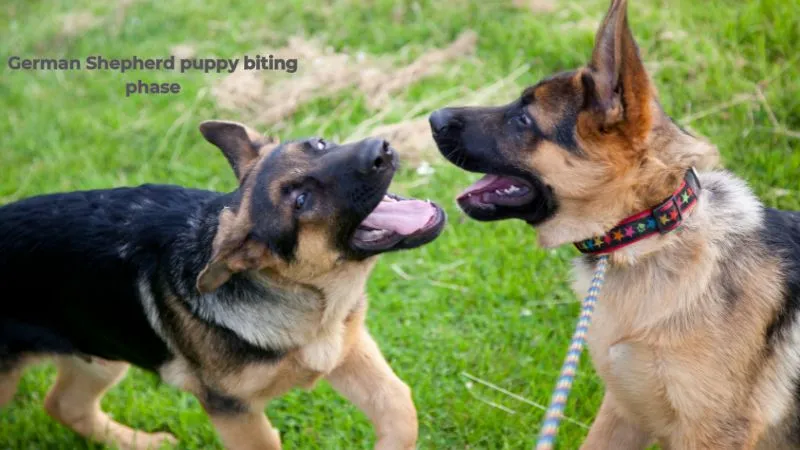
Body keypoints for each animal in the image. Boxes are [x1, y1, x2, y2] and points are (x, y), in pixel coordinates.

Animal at [0, 120, 444, 450]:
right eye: (300, 201)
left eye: (319, 143)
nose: (380, 149)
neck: (301, 295)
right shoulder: (233, 411)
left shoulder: (346, 350)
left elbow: (399, 405)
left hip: (102, 354)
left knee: (64, 404)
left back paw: (140, 442)